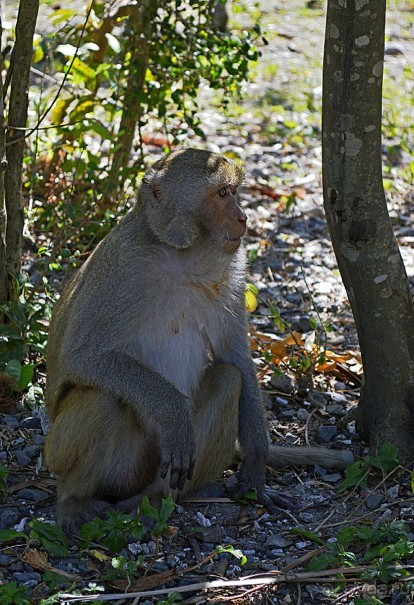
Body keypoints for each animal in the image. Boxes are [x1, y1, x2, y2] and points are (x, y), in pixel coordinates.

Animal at [45, 149, 352, 532]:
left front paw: (255, 468)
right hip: (68, 455)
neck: (181, 255)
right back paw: (74, 500)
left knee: (227, 380)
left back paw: (155, 499)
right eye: (221, 194)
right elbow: (81, 356)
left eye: (233, 191)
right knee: (102, 398)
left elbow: (235, 359)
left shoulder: (233, 271)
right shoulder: (121, 265)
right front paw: (173, 413)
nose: (243, 217)